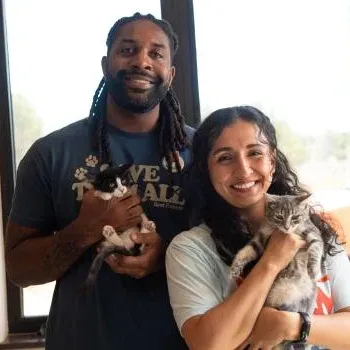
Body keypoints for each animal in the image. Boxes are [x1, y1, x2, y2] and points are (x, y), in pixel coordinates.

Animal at [228, 194, 324, 350]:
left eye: (295, 217)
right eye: (279, 217)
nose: (287, 227)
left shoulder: (312, 232)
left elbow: (315, 248)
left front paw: (313, 270)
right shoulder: (260, 238)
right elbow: (246, 251)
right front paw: (234, 269)